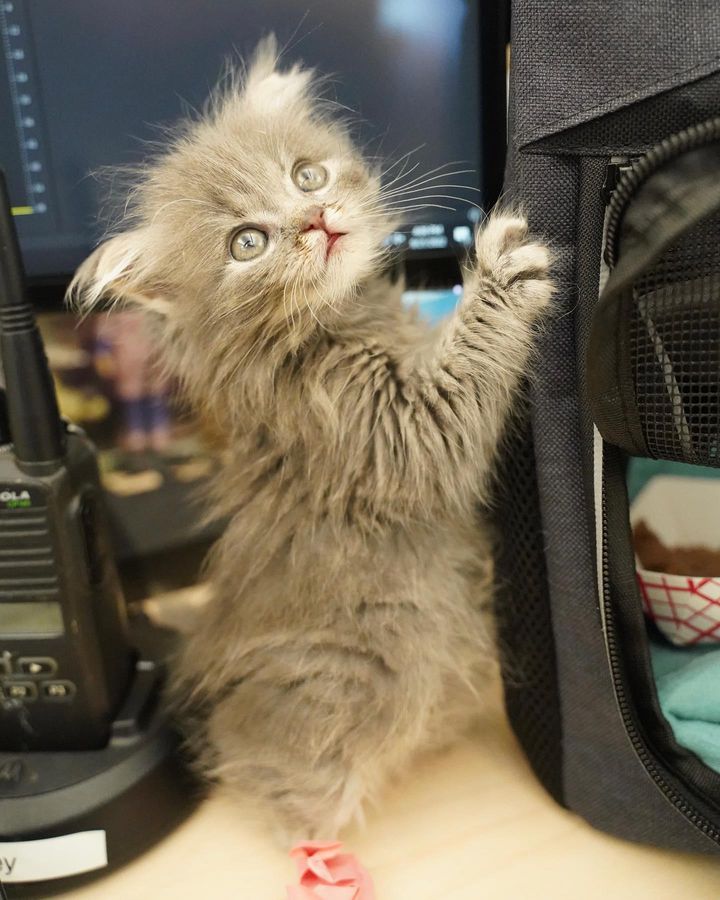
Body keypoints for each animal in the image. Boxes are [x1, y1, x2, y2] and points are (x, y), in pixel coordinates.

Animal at [69, 38, 552, 840]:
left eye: (307, 175)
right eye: (248, 243)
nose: (317, 219)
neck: (338, 323)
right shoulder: (385, 425)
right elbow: (460, 380)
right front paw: (501, 276)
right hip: (340, 683)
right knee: (274, 787)